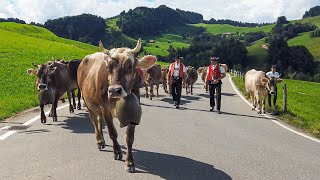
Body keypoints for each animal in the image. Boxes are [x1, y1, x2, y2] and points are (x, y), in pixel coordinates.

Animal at [78, 39, 157, 173]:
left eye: (130, 66)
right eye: (108, 67)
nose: (114, 90)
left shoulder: (133, 111)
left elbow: (129, 137)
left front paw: (129, 162)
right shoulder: (105, 109)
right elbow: (112, 132)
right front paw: (117, 151)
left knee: (99, 120)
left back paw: (102, 140)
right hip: (88, 102)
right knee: (94, 121)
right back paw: (99, 140)